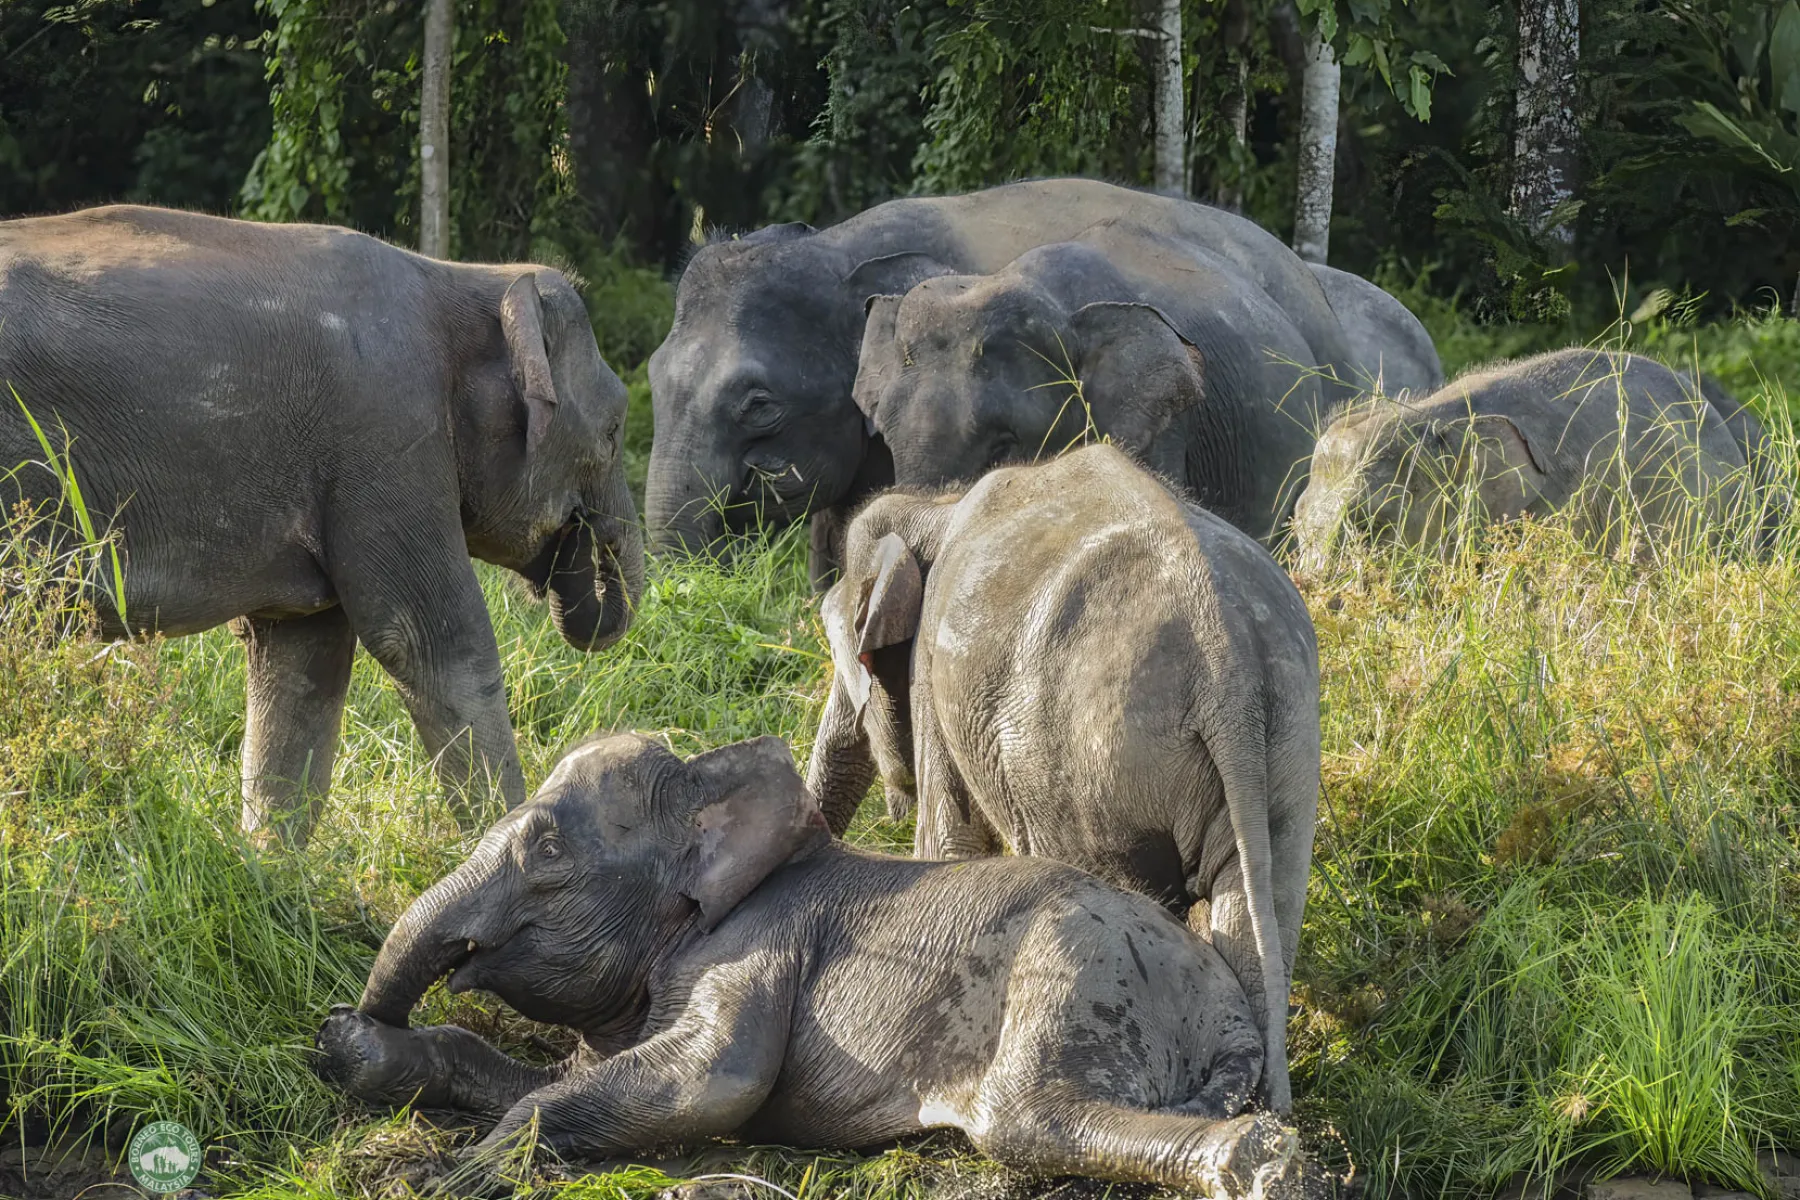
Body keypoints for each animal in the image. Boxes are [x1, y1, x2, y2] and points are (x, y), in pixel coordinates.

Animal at [0, 205, 644, 845]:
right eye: (613, 433)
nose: (587, 539)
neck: (468, 278)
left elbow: (305, 659)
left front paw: (267, 865)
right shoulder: (388, 437)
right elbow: (432, 641)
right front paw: (499, 837)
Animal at [315, 732, 1317, 1200]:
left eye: (546, 849)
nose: (345, 1019)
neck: (715, 781)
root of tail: (1228, 1007)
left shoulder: (757, 946)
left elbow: (708, 1084)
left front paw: (448, 1177)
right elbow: (576, 1076)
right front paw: (359, 1056)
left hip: (1079, 972)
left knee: (1027, 1118)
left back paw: (1263, 1164)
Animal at [805, 445, 1321, 1112]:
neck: (938, 504)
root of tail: (1224, 661)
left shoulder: (932, 680)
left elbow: (950, 840)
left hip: (1086, 763)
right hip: (1284, 741)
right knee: (1261, 905)